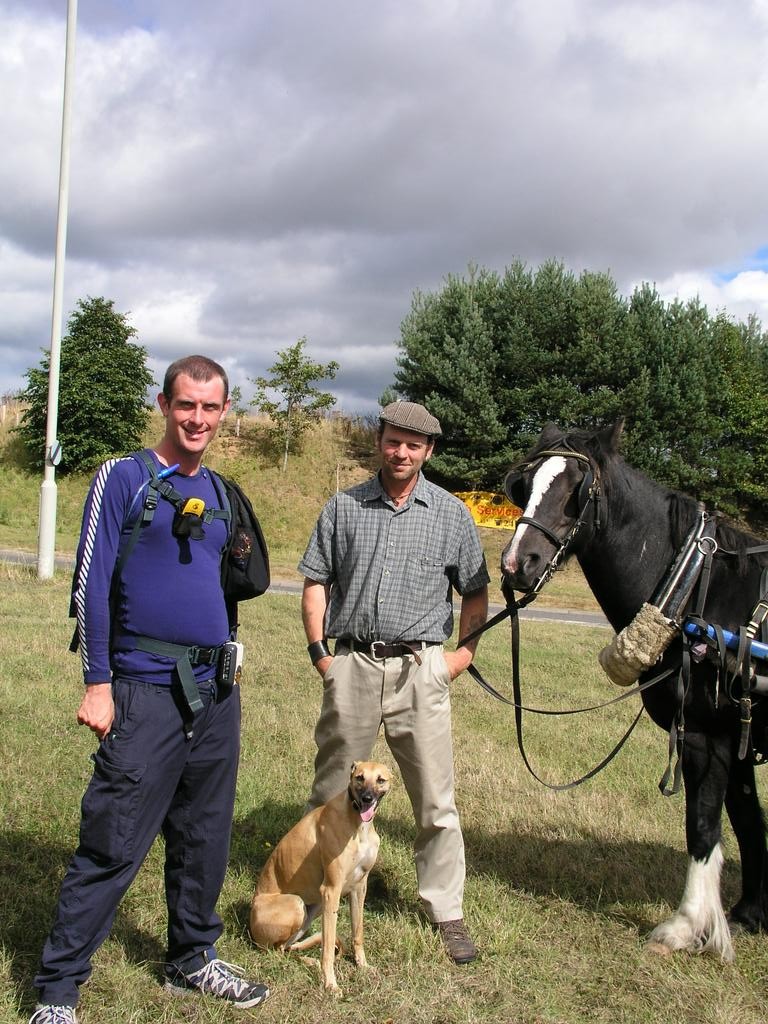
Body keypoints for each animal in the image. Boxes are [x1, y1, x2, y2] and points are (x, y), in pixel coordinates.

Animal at [249, 761, 393, 991]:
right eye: (359, 777)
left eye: (380, 779)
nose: (367, 799)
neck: (358, 825)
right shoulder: (331, 890)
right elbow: (328, 947)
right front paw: (330, 984)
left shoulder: (359, 887)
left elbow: (357, 933)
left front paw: (362, 966)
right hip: (297, 904)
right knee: (277, 950)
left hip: (313, 910)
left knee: (287, 948)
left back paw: (310, 961)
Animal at [499, 417, 768, 958]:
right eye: (526, 485)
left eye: (576, 491)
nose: (518, 564)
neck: (697, 587)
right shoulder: (739, 738)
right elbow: (749, 823)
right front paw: (748, 915)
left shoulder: (706, 736)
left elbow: (703, 825)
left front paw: (687, 926)